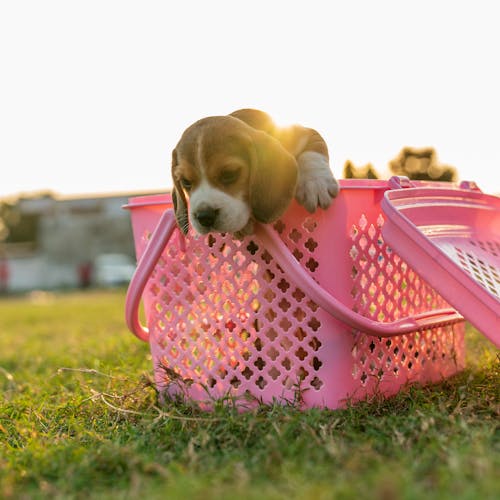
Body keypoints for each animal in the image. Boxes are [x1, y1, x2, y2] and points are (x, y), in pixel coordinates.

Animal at [172, 108, 340, 237]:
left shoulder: (304, 133)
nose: (204, 217)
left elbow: (312, 152)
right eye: (185, 182)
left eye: (229, 174)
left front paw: (316, 183)